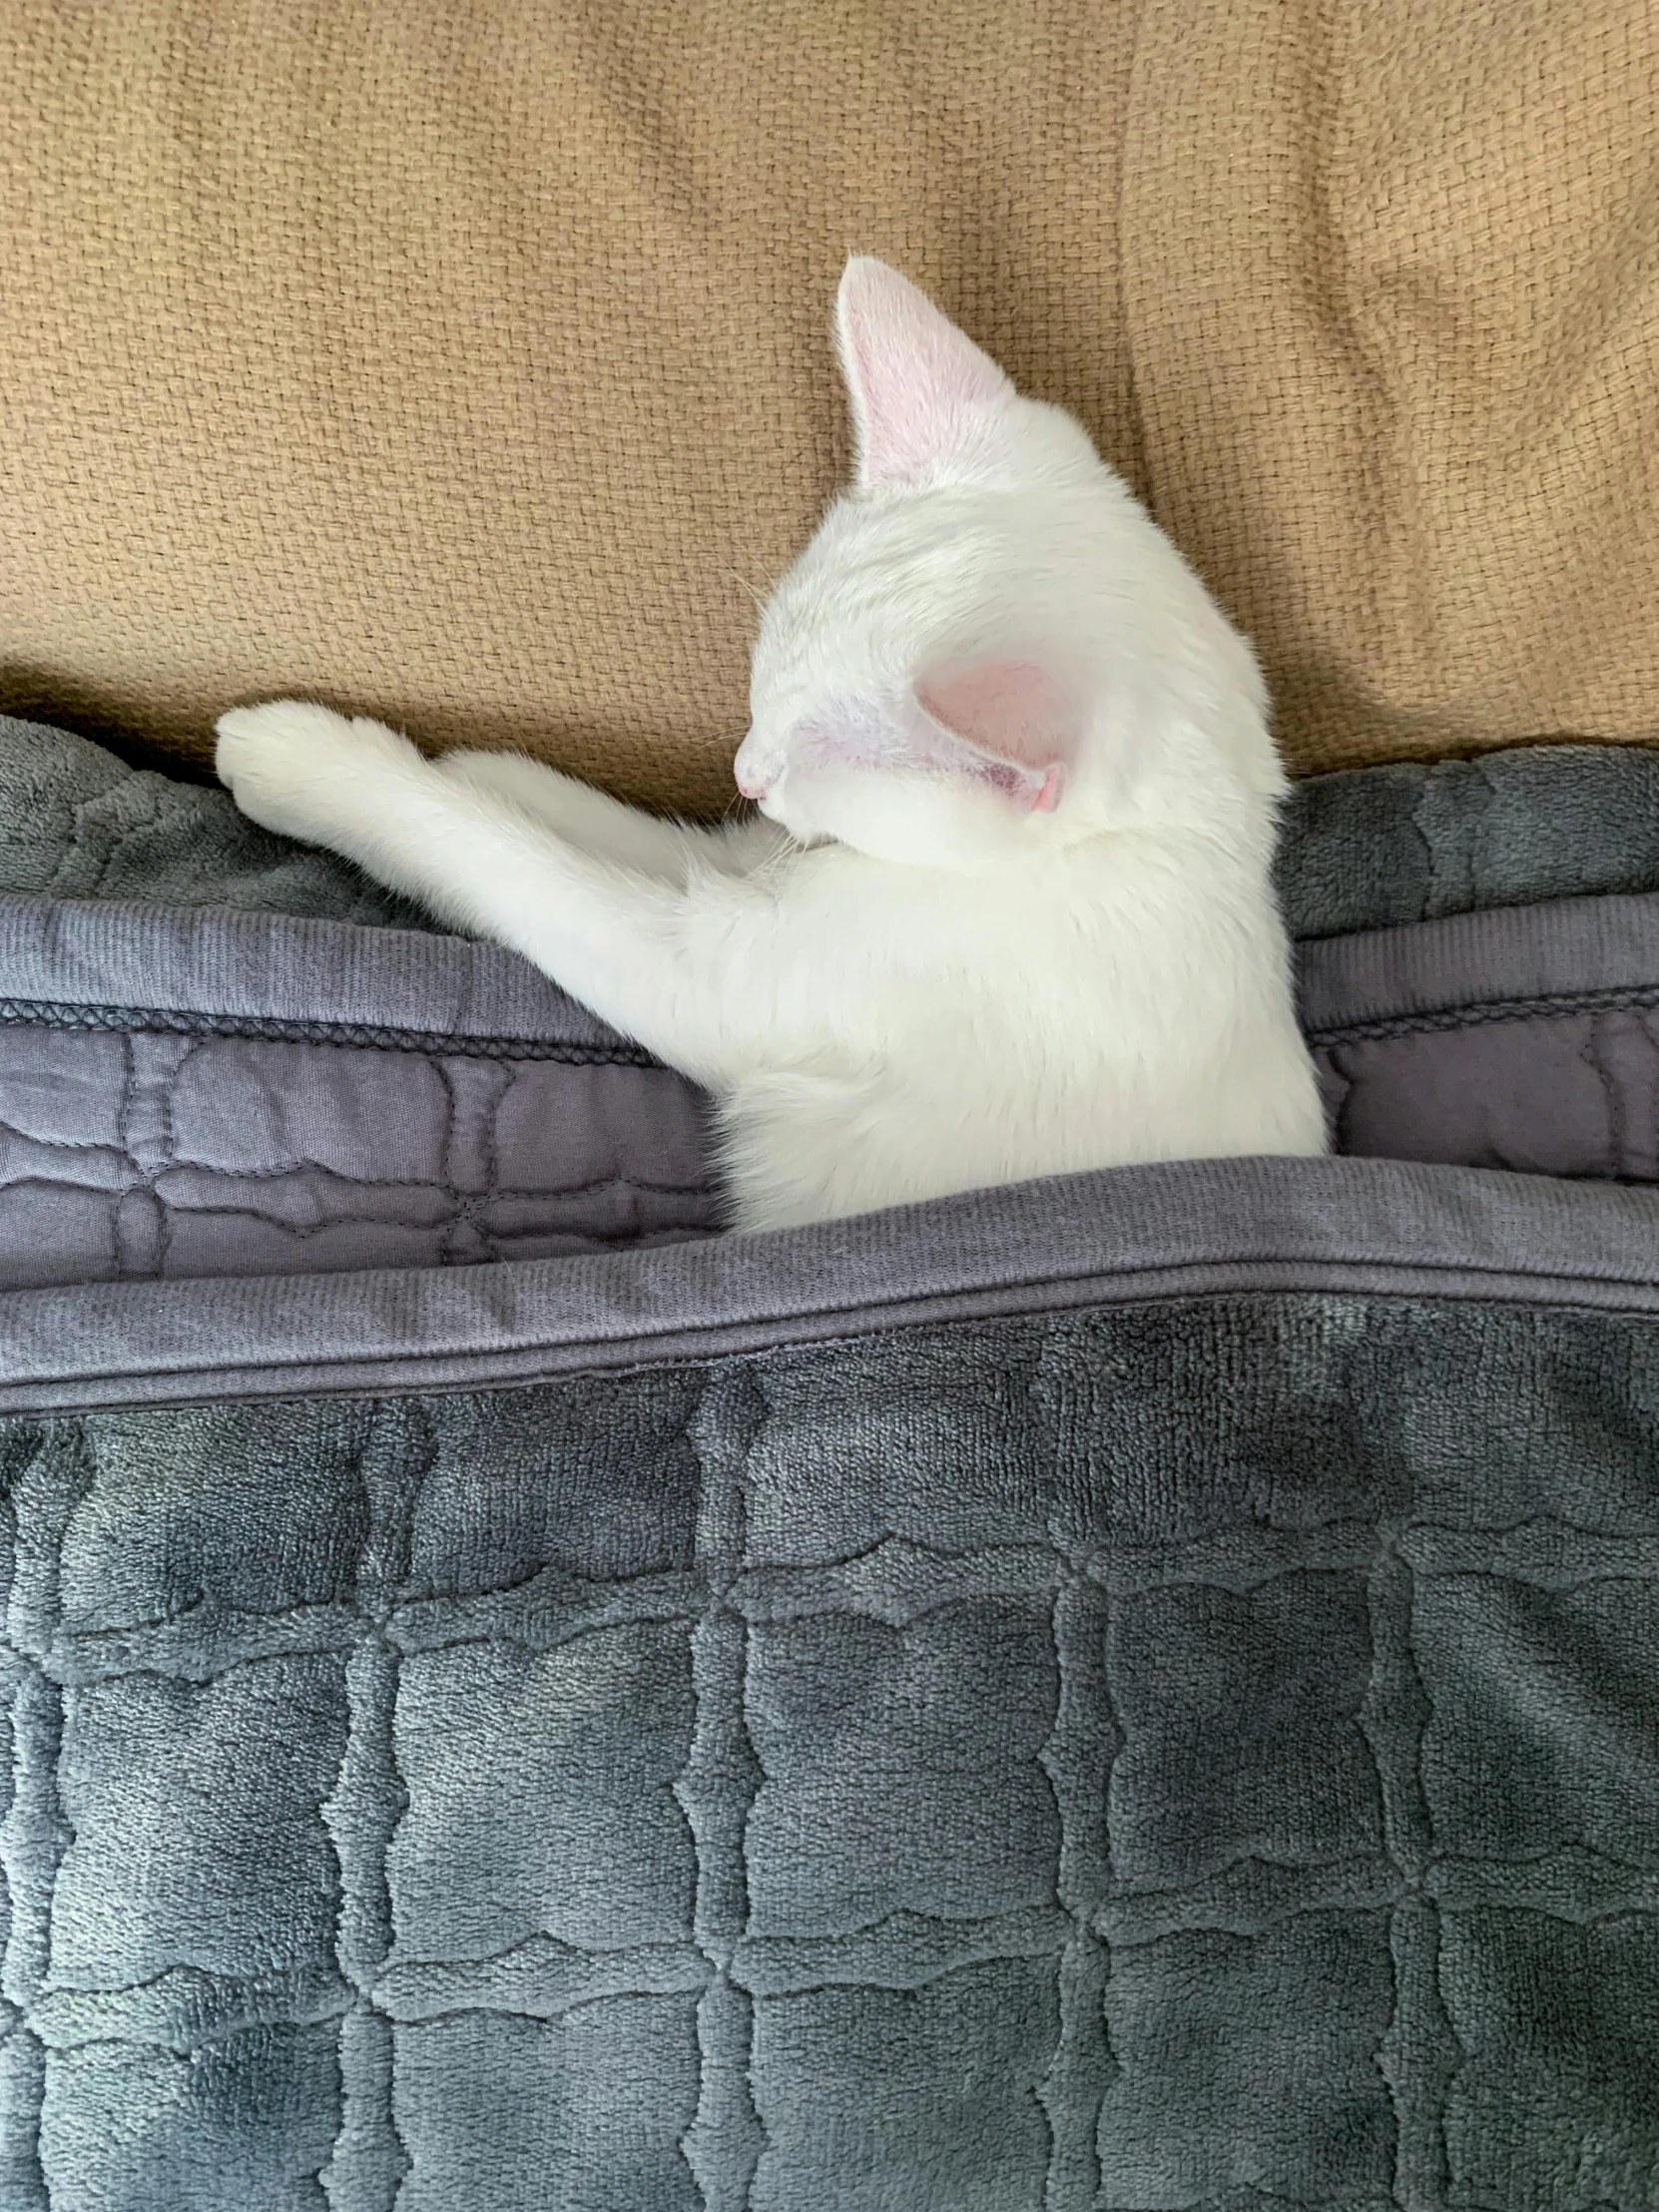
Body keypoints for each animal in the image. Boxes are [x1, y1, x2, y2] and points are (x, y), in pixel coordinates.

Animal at [218, 261, 1327, 1238]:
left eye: (810, 758)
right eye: (761, 695)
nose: (746, 772)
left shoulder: (724, 978)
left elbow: (502, 860)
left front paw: (310, 763)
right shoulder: (751, 861)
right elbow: (615, 830)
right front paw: (491, 771)